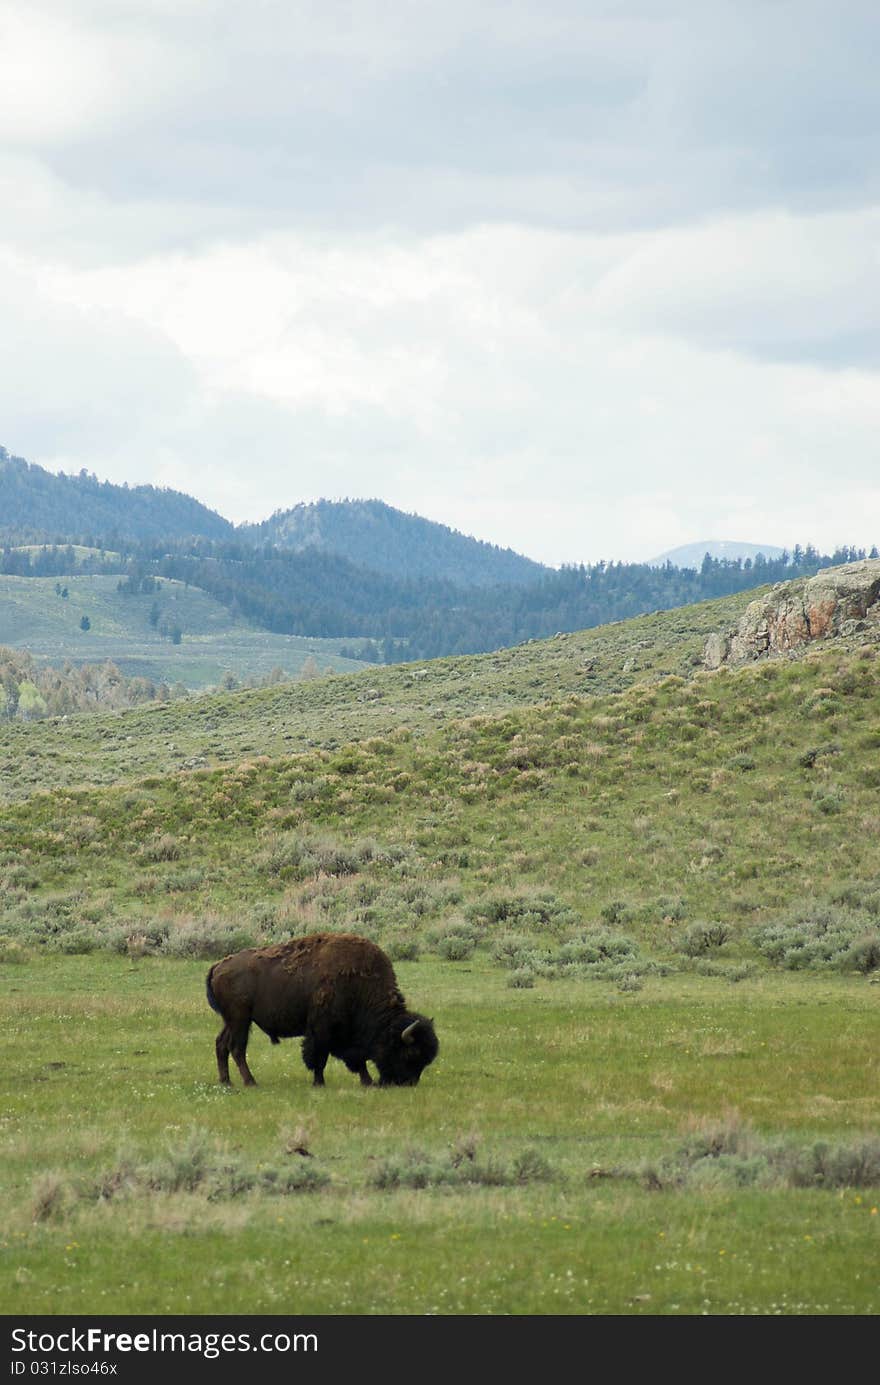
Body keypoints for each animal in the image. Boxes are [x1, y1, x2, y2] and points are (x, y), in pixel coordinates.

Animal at [207, 936, 440, 1085]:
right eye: (411, 1053)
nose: (408, 1083)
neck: (360, 985)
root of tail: (219, 965)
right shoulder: (322, 1029)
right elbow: (319, 1057)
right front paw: (319, 1082)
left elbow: (357, 1059)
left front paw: (367, 1081)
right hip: (240, 1020)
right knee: (237, 1048)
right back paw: (250, 1082)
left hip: (231, 1021)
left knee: (221, 1044)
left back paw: (226, 1081)